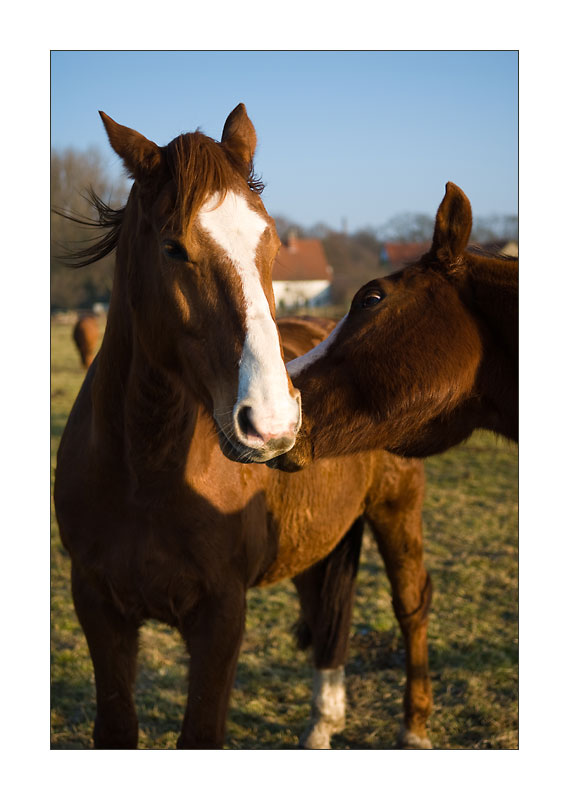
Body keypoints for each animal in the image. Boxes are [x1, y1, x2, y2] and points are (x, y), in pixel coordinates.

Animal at [54, 104, 433, 749]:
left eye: (272, 241)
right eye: (173, 247)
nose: (273, 421)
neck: (144, 473)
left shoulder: (222, 616)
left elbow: (202, 732)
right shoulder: (99, 608)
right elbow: (116, 726)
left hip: (396, 510)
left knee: (411, 606)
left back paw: (415, 732)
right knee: (326, 615)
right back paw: (322, 725)